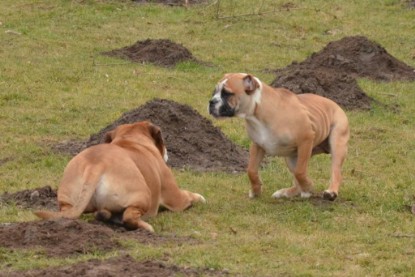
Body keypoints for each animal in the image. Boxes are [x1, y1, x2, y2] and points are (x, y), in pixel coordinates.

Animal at [34, 121, 206, 231]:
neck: (130, 139)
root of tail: (96, 165)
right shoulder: (176, 197)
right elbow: (190, 196)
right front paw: (199, 197)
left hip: (68, 202)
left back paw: (103, 215)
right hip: (143, 195)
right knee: (129, 217)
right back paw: (144, 226)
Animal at [210, 72, 350, 199]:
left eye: (227, 93)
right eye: (214, 92)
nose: (211, 102)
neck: (259, 113)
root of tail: (335, 104)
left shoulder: (306, 139)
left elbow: (300, 172)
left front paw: (308, 187)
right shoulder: (258, 145)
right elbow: (251, 170)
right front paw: (256, 190)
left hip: (336, 142)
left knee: (335, 171)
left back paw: (331, 192)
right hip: (292, 157)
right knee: (297, 178)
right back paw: (287, 192)